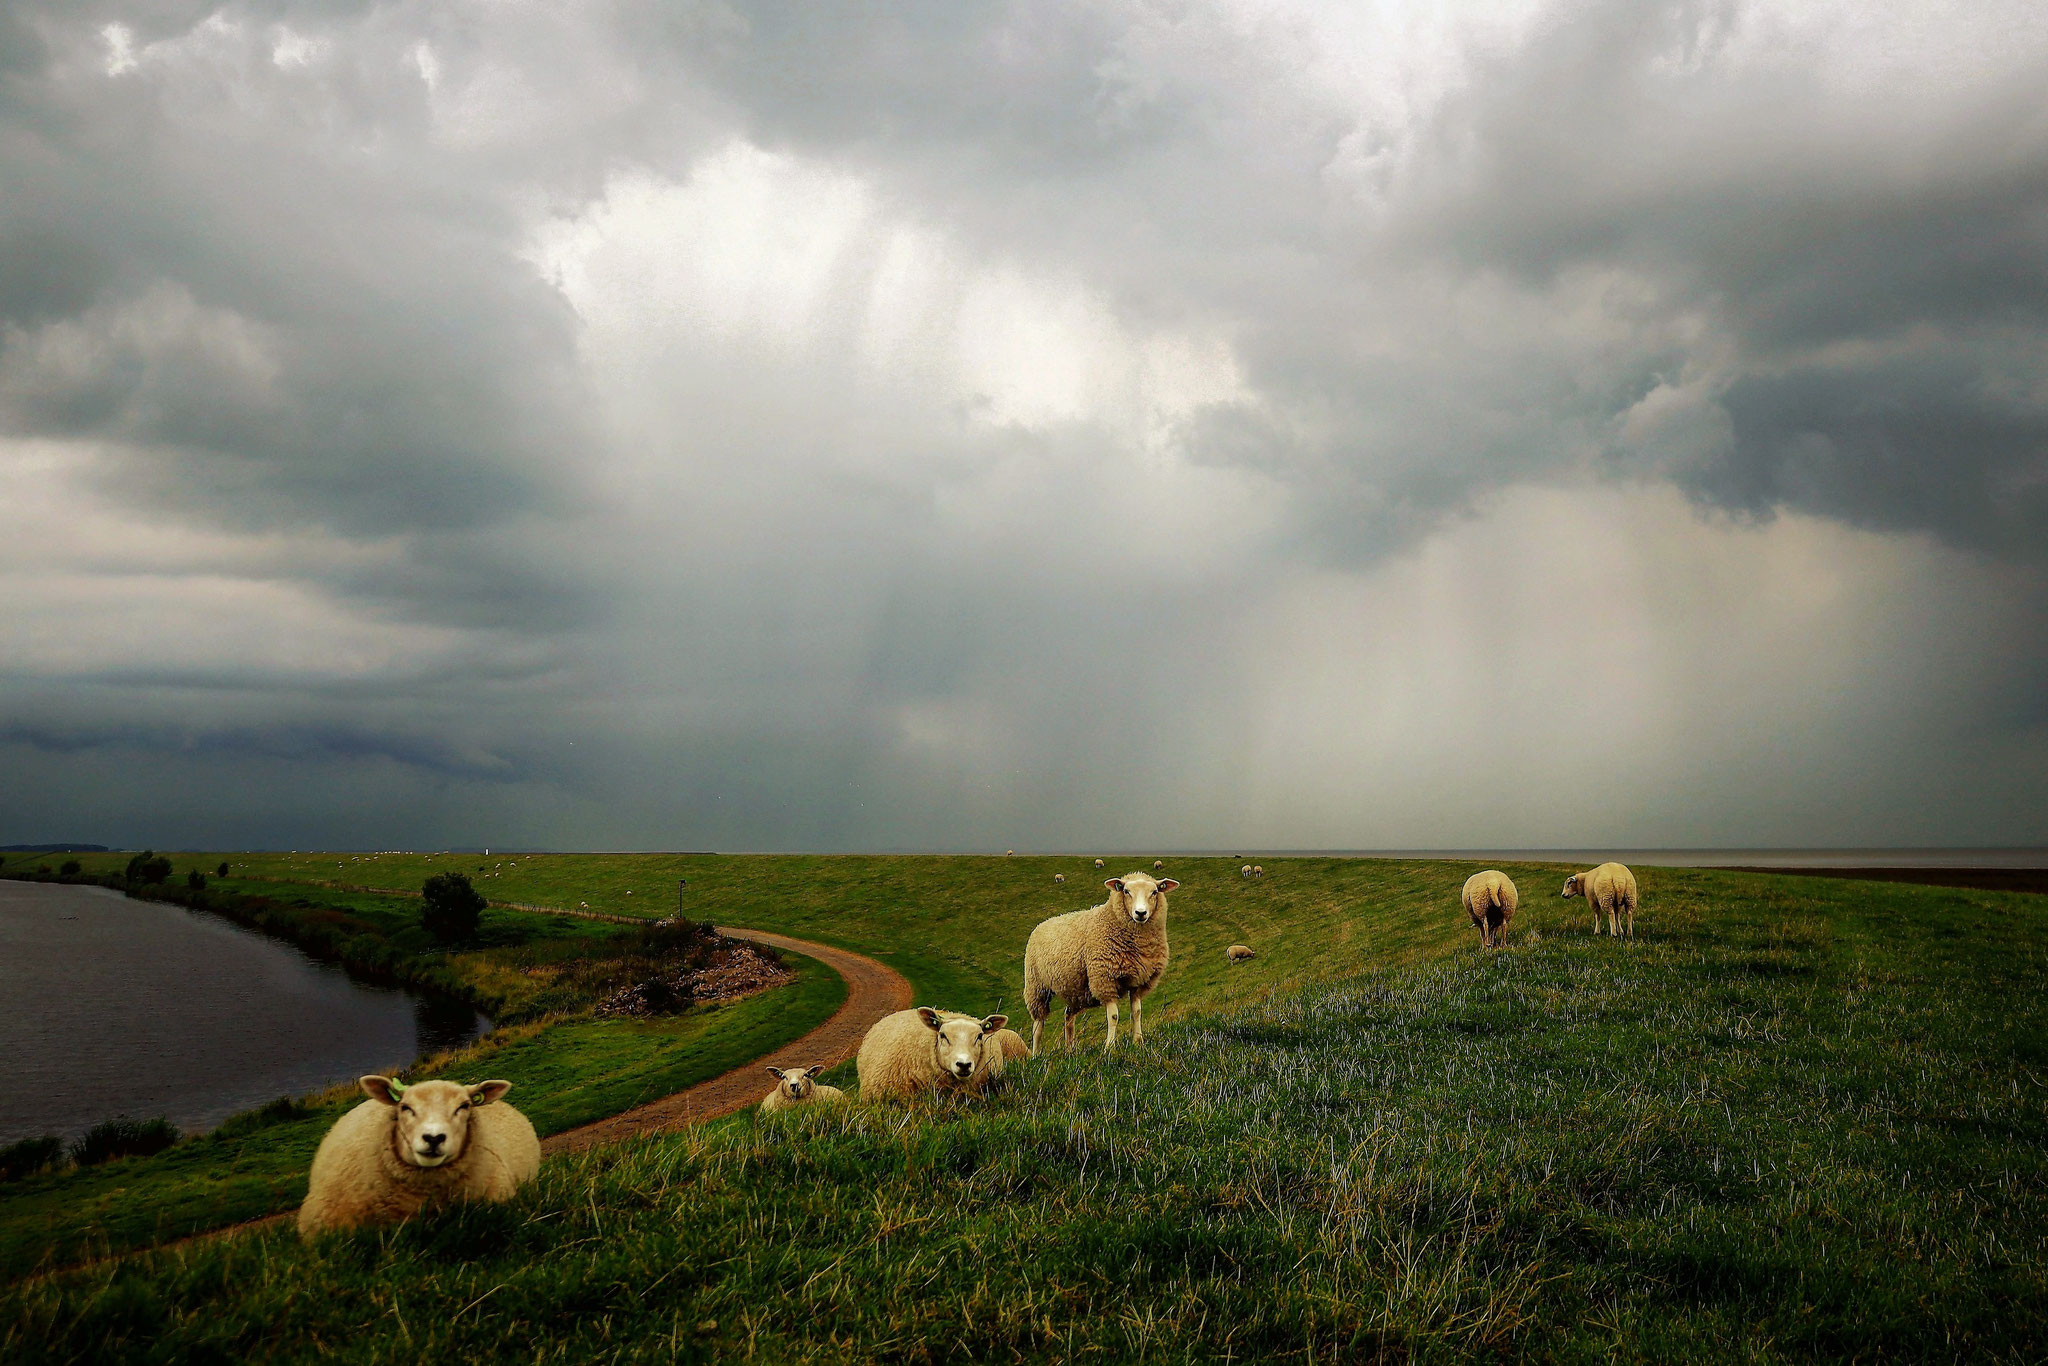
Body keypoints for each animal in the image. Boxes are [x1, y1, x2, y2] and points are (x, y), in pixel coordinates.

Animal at [1019, 872, 1179, 1056]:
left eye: (1154, 892)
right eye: (1126, 891)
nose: (1140, 913)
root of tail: (1042, 923)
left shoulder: (1139, 981)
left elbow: (1137, 1012)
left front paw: (1138, 1041)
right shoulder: (1105, 979)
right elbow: (1114, 1016)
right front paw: (1109, 1046)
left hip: (1075, 990)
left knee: (1068, 1017)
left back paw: (1070, 1050)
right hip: (1037, 986)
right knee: (1038, 1024)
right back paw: (1036, 1054)